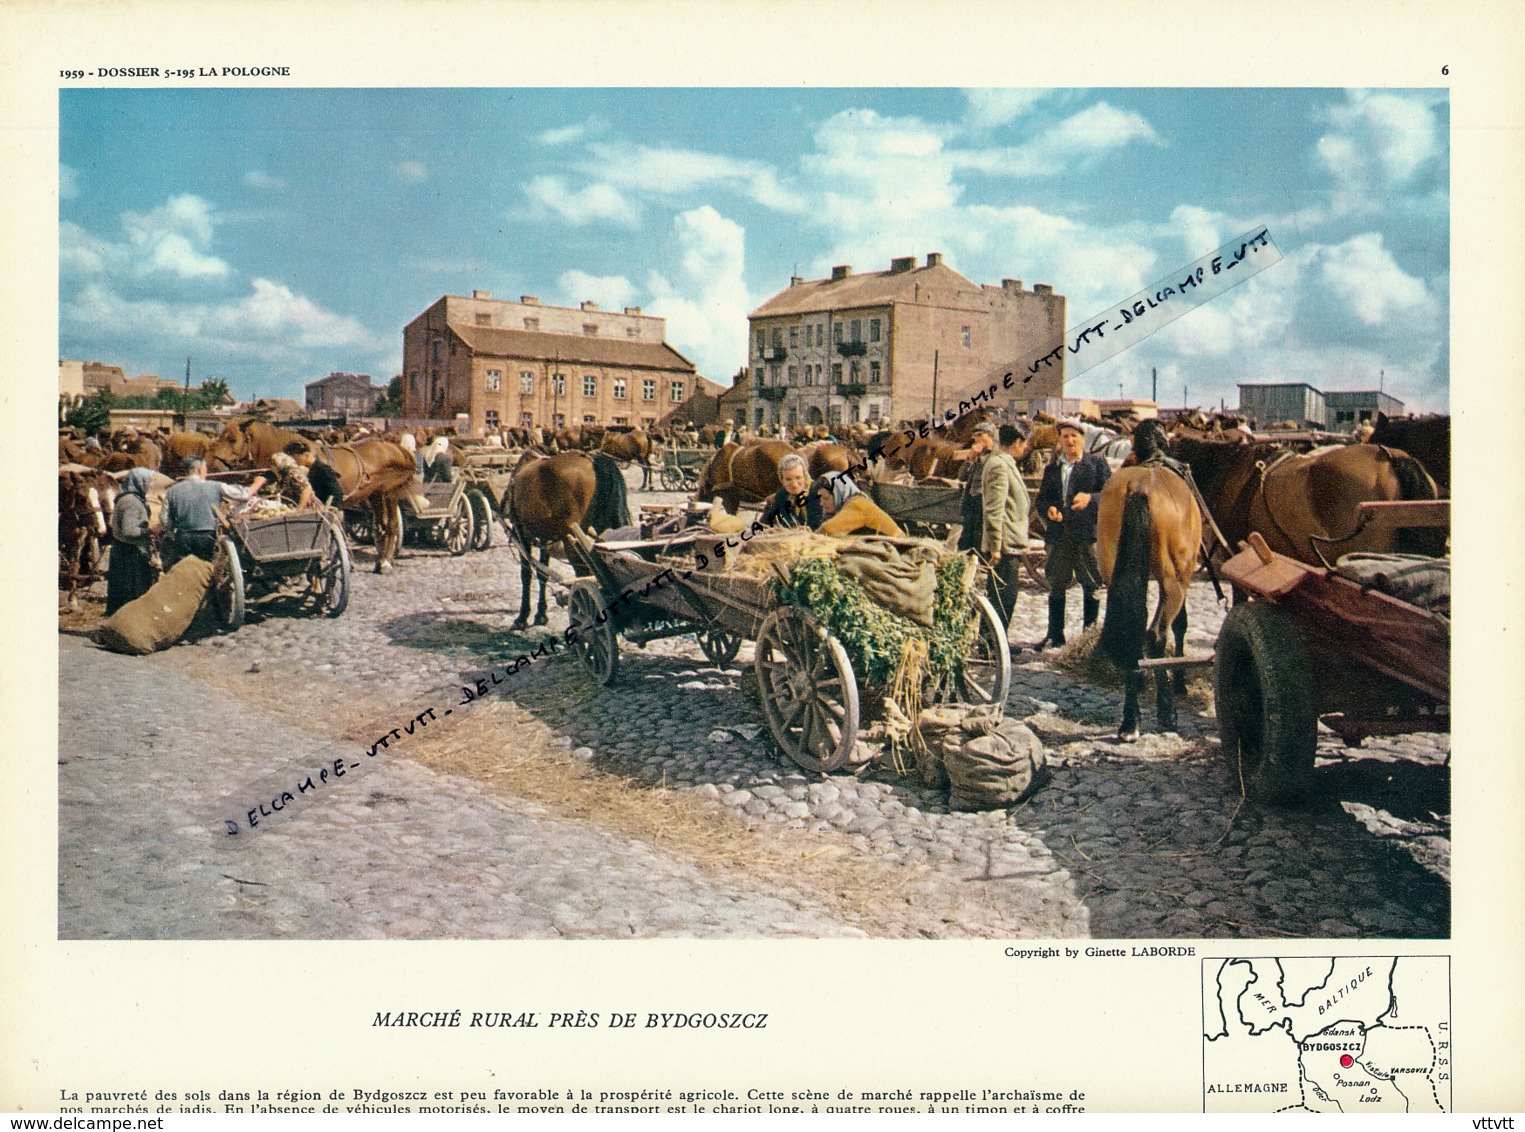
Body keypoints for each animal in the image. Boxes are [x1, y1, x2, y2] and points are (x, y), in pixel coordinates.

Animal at [512, 451, 631, 628]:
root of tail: (592, 460)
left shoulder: (521, 534)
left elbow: (526, 573)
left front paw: (522, 616)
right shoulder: (545, 539)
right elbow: (542, 573)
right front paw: (541, 614)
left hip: (573, 541)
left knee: (584, 576)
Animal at [1098, 421, 1201, 741]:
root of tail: (1141, 486)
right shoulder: (1183, 578)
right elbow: (1180, 625)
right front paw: (1179, 683)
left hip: (1113, 573)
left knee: (1134, 631)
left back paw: (1130, 721)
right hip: (1174, 582)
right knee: (1155, 635)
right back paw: (1166, 713)